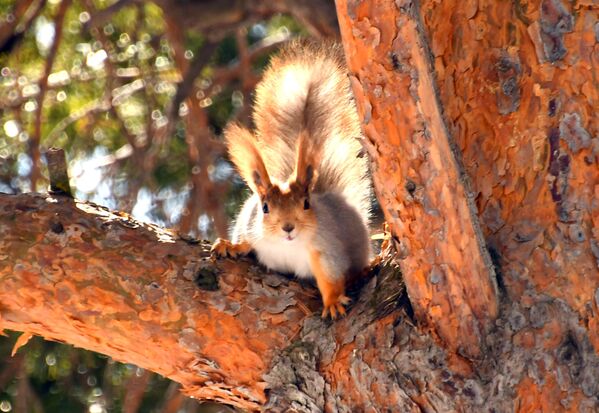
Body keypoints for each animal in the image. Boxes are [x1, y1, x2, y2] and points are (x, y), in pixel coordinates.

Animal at [210, 41, 370, 318]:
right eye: (264, 208)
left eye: (306, 204)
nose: (288, 227)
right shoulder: (250, 226)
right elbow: (246, 241)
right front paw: (231, 246)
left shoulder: (326, 248)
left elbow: (331, 277)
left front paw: (333, 301)